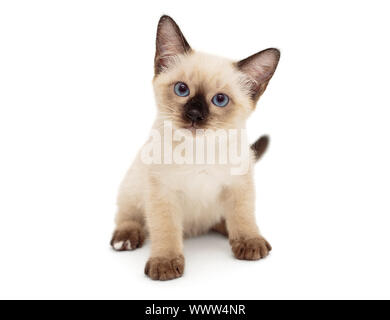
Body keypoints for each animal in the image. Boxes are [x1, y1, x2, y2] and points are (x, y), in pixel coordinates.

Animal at [111, 15, 278, 280]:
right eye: (182, 89)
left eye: (220, 100)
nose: (195, 115)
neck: (199, 150)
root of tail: (194, 230)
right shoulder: (163, 194)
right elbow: (165, 230)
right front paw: (165, 262)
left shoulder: (239, 185)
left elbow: (243, 216)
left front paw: (249, 241)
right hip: (133, 186)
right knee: (128, 216)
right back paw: (125, 238)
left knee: (223, 218)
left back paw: (226, 229)